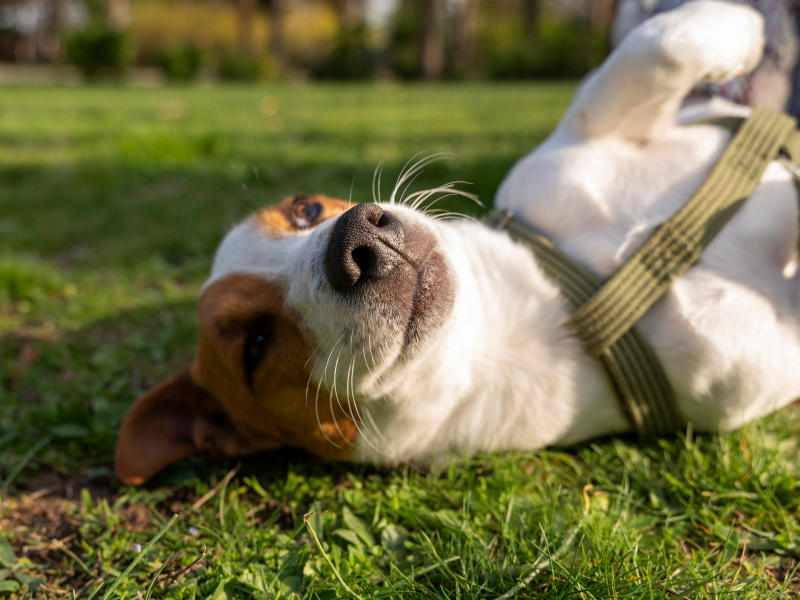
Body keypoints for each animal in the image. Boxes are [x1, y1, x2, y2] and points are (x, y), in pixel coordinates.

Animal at [114, 0, 800, 486]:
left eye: (304, 209)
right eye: (255, 347)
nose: (357, 243)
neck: (540, 316)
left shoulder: (590, 132)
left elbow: (658, 46)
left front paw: (742, 31)